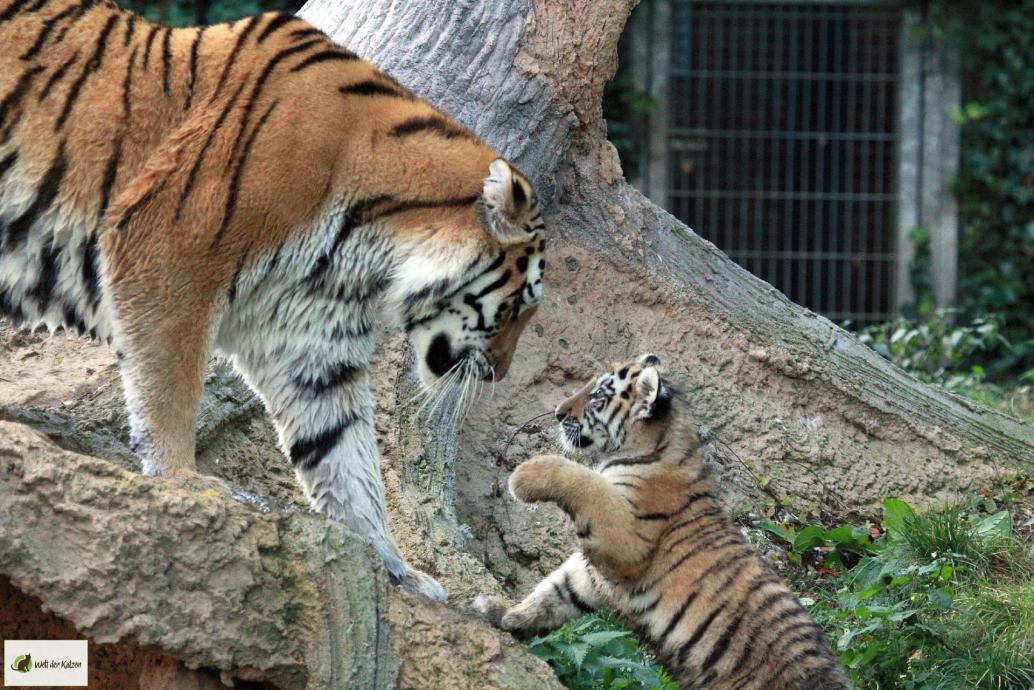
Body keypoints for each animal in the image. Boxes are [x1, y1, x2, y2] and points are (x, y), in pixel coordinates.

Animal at [0, 1, 546, 600]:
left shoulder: (309, 343)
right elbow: (170, 387)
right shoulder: (169, 255)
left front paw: (396, 566)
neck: (368, 243)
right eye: (519, 305)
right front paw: (182, 479)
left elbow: (345, 455)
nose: (498, 374)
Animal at [475, 355, 852, 689]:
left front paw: (524, 475)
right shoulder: (592, 571)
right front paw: (504, 613)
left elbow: (583, 480)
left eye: (596, 396)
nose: (557, 413)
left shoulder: (627, 538)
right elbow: (555, 591)